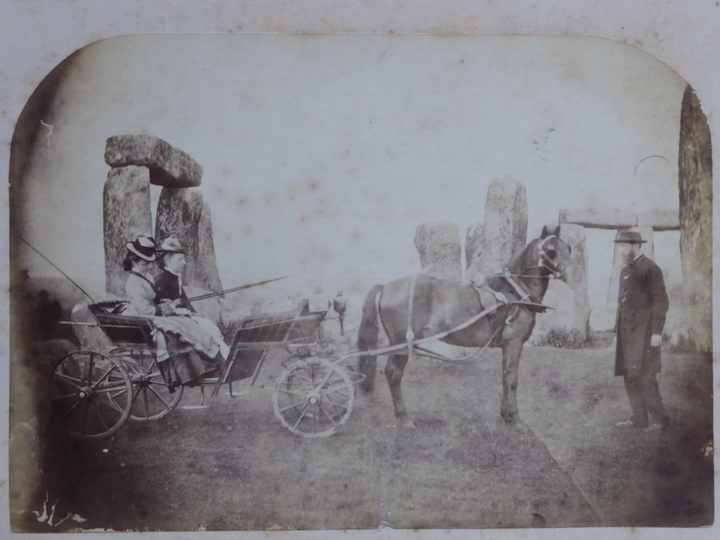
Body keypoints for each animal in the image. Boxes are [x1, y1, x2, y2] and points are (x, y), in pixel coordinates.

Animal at [358, 224, 580, 426]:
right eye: (550, 250)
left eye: (568, 248)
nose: (574, 274)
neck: (514, 292)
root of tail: (385, 286)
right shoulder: (515, 343)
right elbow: (512, 381)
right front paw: (516, 418)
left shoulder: (506, 345)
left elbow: (504, 378)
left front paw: (505, 414)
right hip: (402, 344)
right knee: (393, 374)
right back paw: (404, 417)